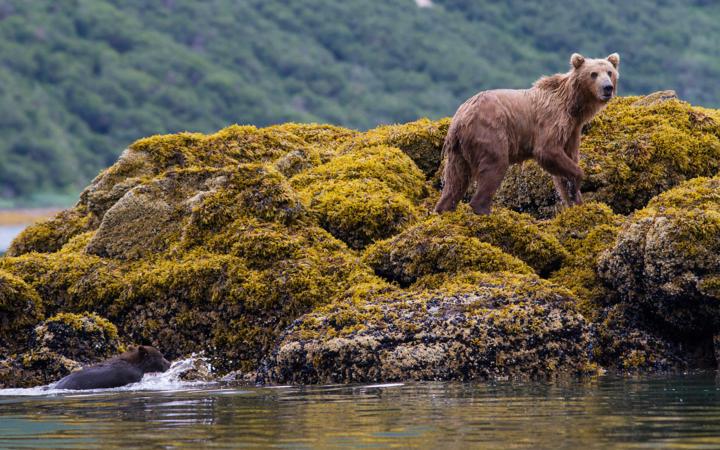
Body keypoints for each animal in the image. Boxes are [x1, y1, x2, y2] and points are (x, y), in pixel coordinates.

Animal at [434, 53, 620, 215]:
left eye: (610, 72)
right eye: (593, 74)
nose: (607, 87)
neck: (573, 106)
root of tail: (459, 117)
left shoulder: (572, 130)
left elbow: (566, 163)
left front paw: (577, 202)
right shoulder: (552, 119)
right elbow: (547, 150)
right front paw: (577, 183)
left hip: (458, 149)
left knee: (456, 178)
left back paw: (445, 207)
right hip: (488, 130)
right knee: (495, 165)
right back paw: (483, 209)